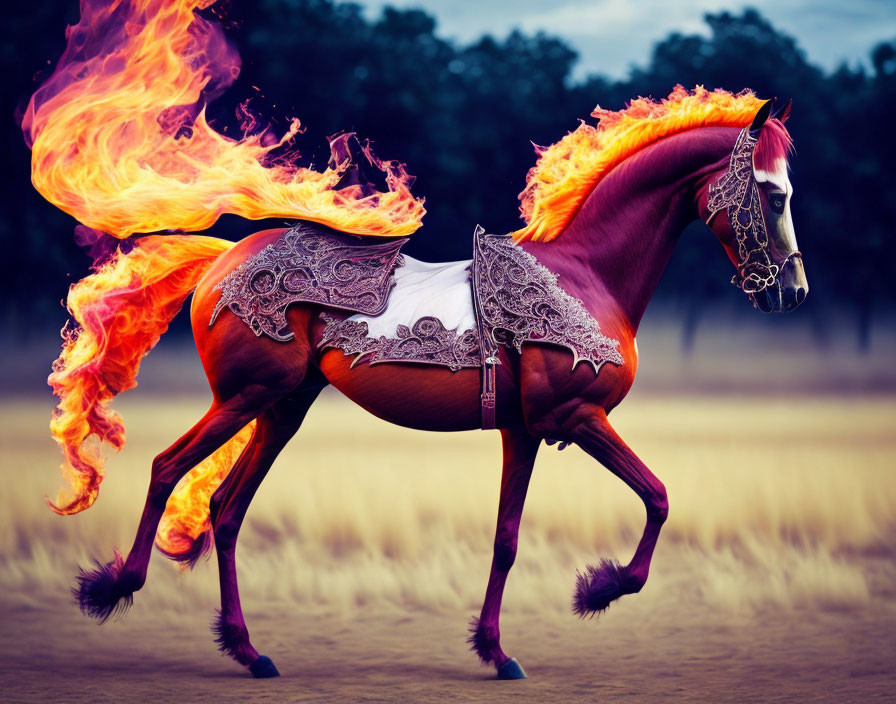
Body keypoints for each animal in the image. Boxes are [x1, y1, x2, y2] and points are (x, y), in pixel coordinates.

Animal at [59, 88, 808, 676]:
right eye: (773, 195)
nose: (791, 293)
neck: (586, 274)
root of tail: (224, 259)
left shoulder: (523, 432)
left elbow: (508, 540)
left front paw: (496, 651)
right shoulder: (579, 416)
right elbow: (657, 497)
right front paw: (598, 590)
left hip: (282, 408)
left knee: (225, 508)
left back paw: (248, 650)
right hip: (246, 397)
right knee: (166, 468)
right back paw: (114, 589)